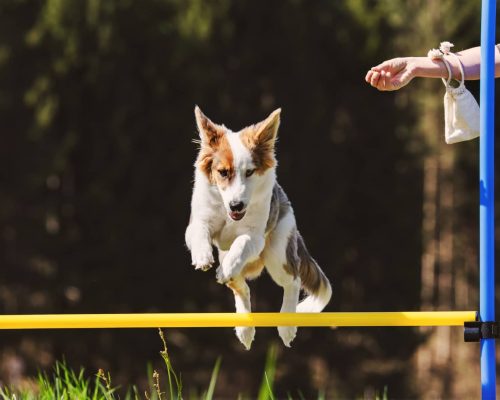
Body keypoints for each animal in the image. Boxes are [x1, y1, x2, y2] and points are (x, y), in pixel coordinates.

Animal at [186, 107, 330, 350]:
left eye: (250, 172)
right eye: (222, 172)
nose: (236, 205)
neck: (229, 214)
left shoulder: (255, 237)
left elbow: (242, 241)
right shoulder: (199, 219)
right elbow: (199, 231)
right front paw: (202, 257)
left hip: (277, 252)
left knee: (293, 280)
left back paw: (287, 325)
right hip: (231, 258)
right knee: (241, 287)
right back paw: (245, 329)